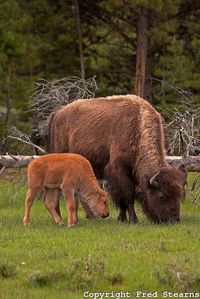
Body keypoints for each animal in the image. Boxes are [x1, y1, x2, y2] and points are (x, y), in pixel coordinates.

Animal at [45, 95, 186, 224]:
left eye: (180, 195)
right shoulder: (118, 170)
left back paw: (91, 217)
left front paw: (122, 218)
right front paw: (133, 220)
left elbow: (122, 197)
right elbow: (127, 195)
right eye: (162, 196)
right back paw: (60, 218)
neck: (138, 126)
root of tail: (57, 113)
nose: (173, 220)